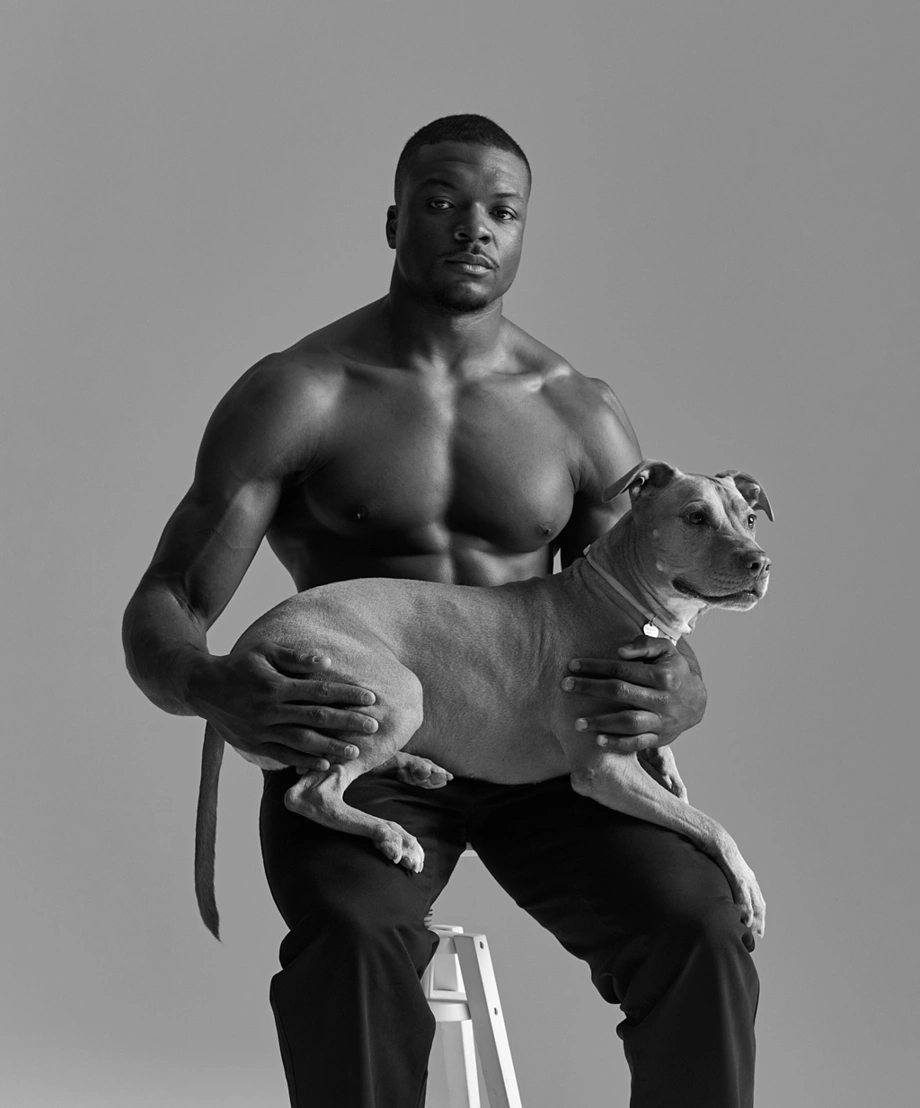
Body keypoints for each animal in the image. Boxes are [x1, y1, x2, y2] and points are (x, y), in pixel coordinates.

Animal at [195, 460, 773, 940]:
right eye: (695, 517)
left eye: (749, 519)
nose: (761, 563)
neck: (624, 598)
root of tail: (242, 648)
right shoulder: (605, 771)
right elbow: (713, 827)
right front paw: (747, 887)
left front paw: (670, 768)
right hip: (400, 691)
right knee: (311, 792)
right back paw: (390, 833)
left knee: (338, 759)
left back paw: (416, 767)